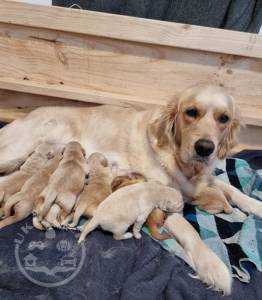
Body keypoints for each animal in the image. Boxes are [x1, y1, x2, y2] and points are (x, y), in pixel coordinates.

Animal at [0, 84, 258, 292]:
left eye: (224, 118)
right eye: (191, 112)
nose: (205, 148)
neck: (178, 158)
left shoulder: (201, 180)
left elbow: (233, 190)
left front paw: (256, 205)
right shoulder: (163, 194)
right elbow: (190, 230)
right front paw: (213, 267)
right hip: (17, 151)